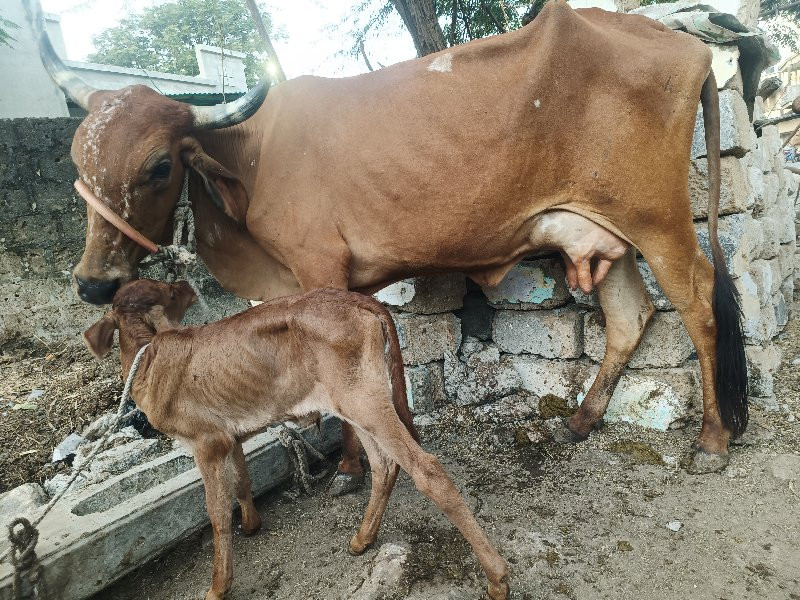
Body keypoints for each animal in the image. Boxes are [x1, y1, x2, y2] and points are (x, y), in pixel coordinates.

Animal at [39, 1, 752, 488]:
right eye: (76, 158)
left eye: (159, 166)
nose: (92, 281)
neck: (251, 155)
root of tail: (688, 47)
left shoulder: (321, 269)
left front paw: (352, 468)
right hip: (606, 233)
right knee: (632, 317)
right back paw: (581, 420)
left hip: (658, 220)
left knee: (698, 304)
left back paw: (713, 438)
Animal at [84, 278, 510, 596]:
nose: (185, 286)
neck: (148, 353)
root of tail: (359, 299)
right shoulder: (230, 437)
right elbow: (242, 480)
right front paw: (252, 524)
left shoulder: (205, 442)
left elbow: (217, 514)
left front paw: (218, 586)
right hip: (358, 404)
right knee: (385, 465)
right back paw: (363, 539)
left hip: (366, 402)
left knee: (428, 470)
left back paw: (497, 577)